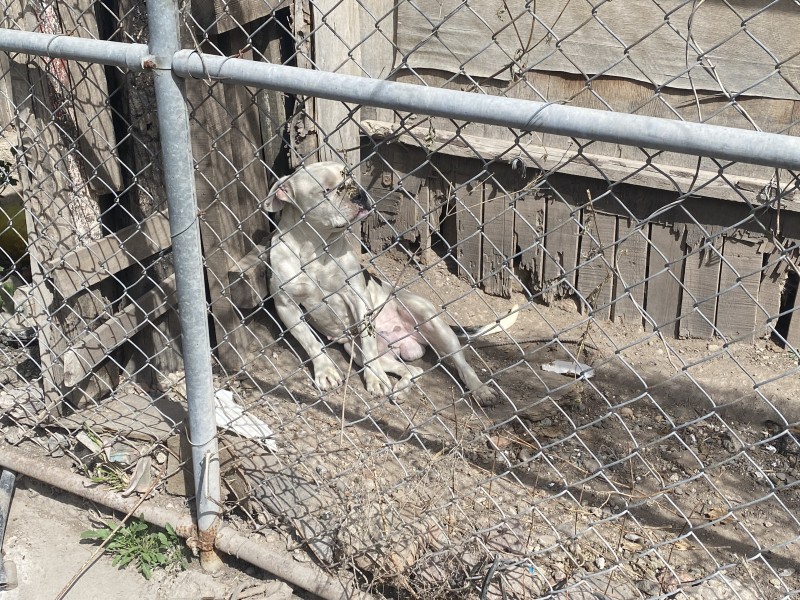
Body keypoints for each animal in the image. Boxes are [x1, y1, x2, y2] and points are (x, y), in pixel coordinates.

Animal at [262, 161, 512, 404]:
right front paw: (326, 371)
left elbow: (367, 341)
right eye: (328, 189)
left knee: (462, 365)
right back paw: (401, 390)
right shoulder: (286, 306)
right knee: (410, 370)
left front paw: (375, 379)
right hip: (357, 350)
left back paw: (481, 390)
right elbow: (309, 341)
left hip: (431, 321)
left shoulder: (357, 299)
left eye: (351, 178)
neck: (315, 248)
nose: (360, 194)